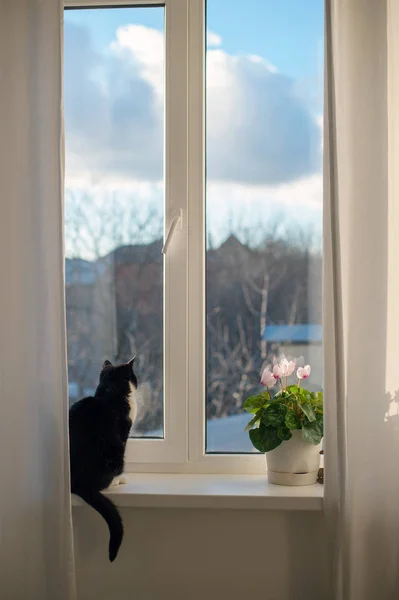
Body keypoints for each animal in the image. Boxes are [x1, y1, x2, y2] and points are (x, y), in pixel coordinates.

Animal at [69, 356, 138, 564]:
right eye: (133, 376)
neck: (110, 391)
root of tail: (77, 483)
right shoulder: (123, 435)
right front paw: (122, 478)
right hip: (112, 453)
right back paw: (116, 480)